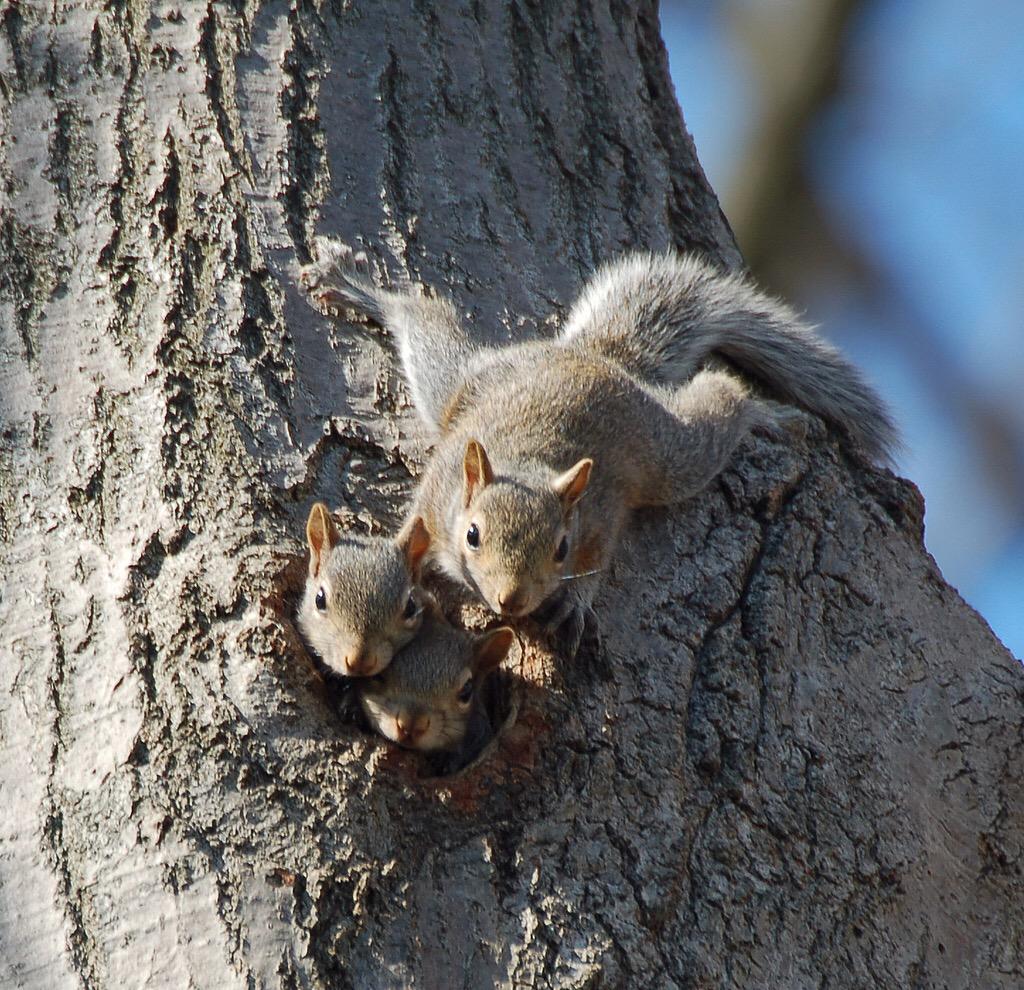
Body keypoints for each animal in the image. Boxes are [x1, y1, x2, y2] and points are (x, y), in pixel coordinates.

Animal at [301, 241, 896, 653]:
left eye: (562, 548)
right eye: (472, 534)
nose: (511, 600)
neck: (531, 463)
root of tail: (597, 357)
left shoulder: (602, 513)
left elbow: (599, 561)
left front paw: (575, 604)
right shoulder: (439, 489)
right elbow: (414, 530)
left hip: (668, 453)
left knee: (724, 395)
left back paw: (769, 415)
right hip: (461, 386)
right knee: (423, 321)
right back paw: (358, 287)